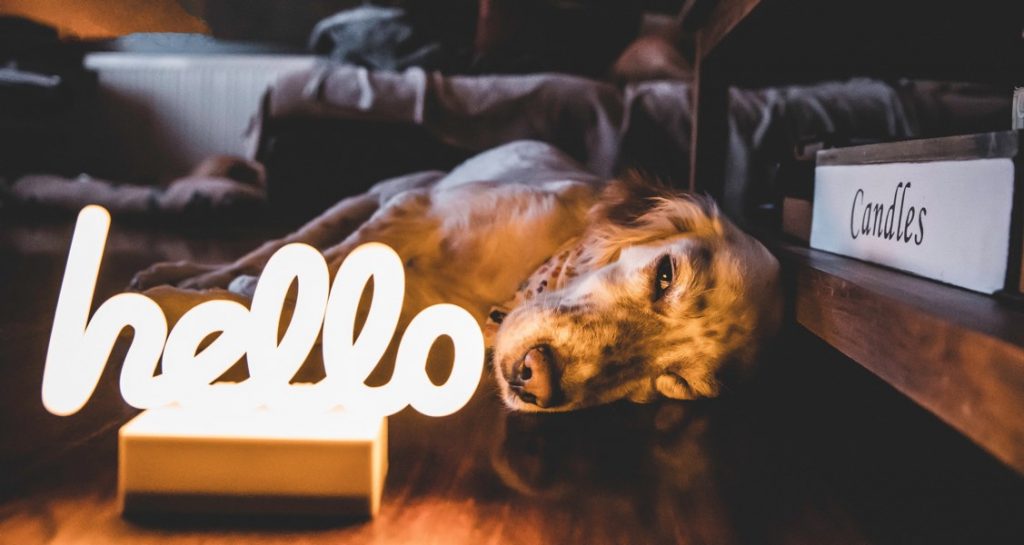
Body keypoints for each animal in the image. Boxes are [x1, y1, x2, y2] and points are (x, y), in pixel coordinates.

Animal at [132, 140, 778, 413]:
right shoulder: (413, 212)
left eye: (676, 383)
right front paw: (176, 301)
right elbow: (296, 272)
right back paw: (176, 269)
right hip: (368, 198)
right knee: (272, 247)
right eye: (666, 275)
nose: (537, 378)